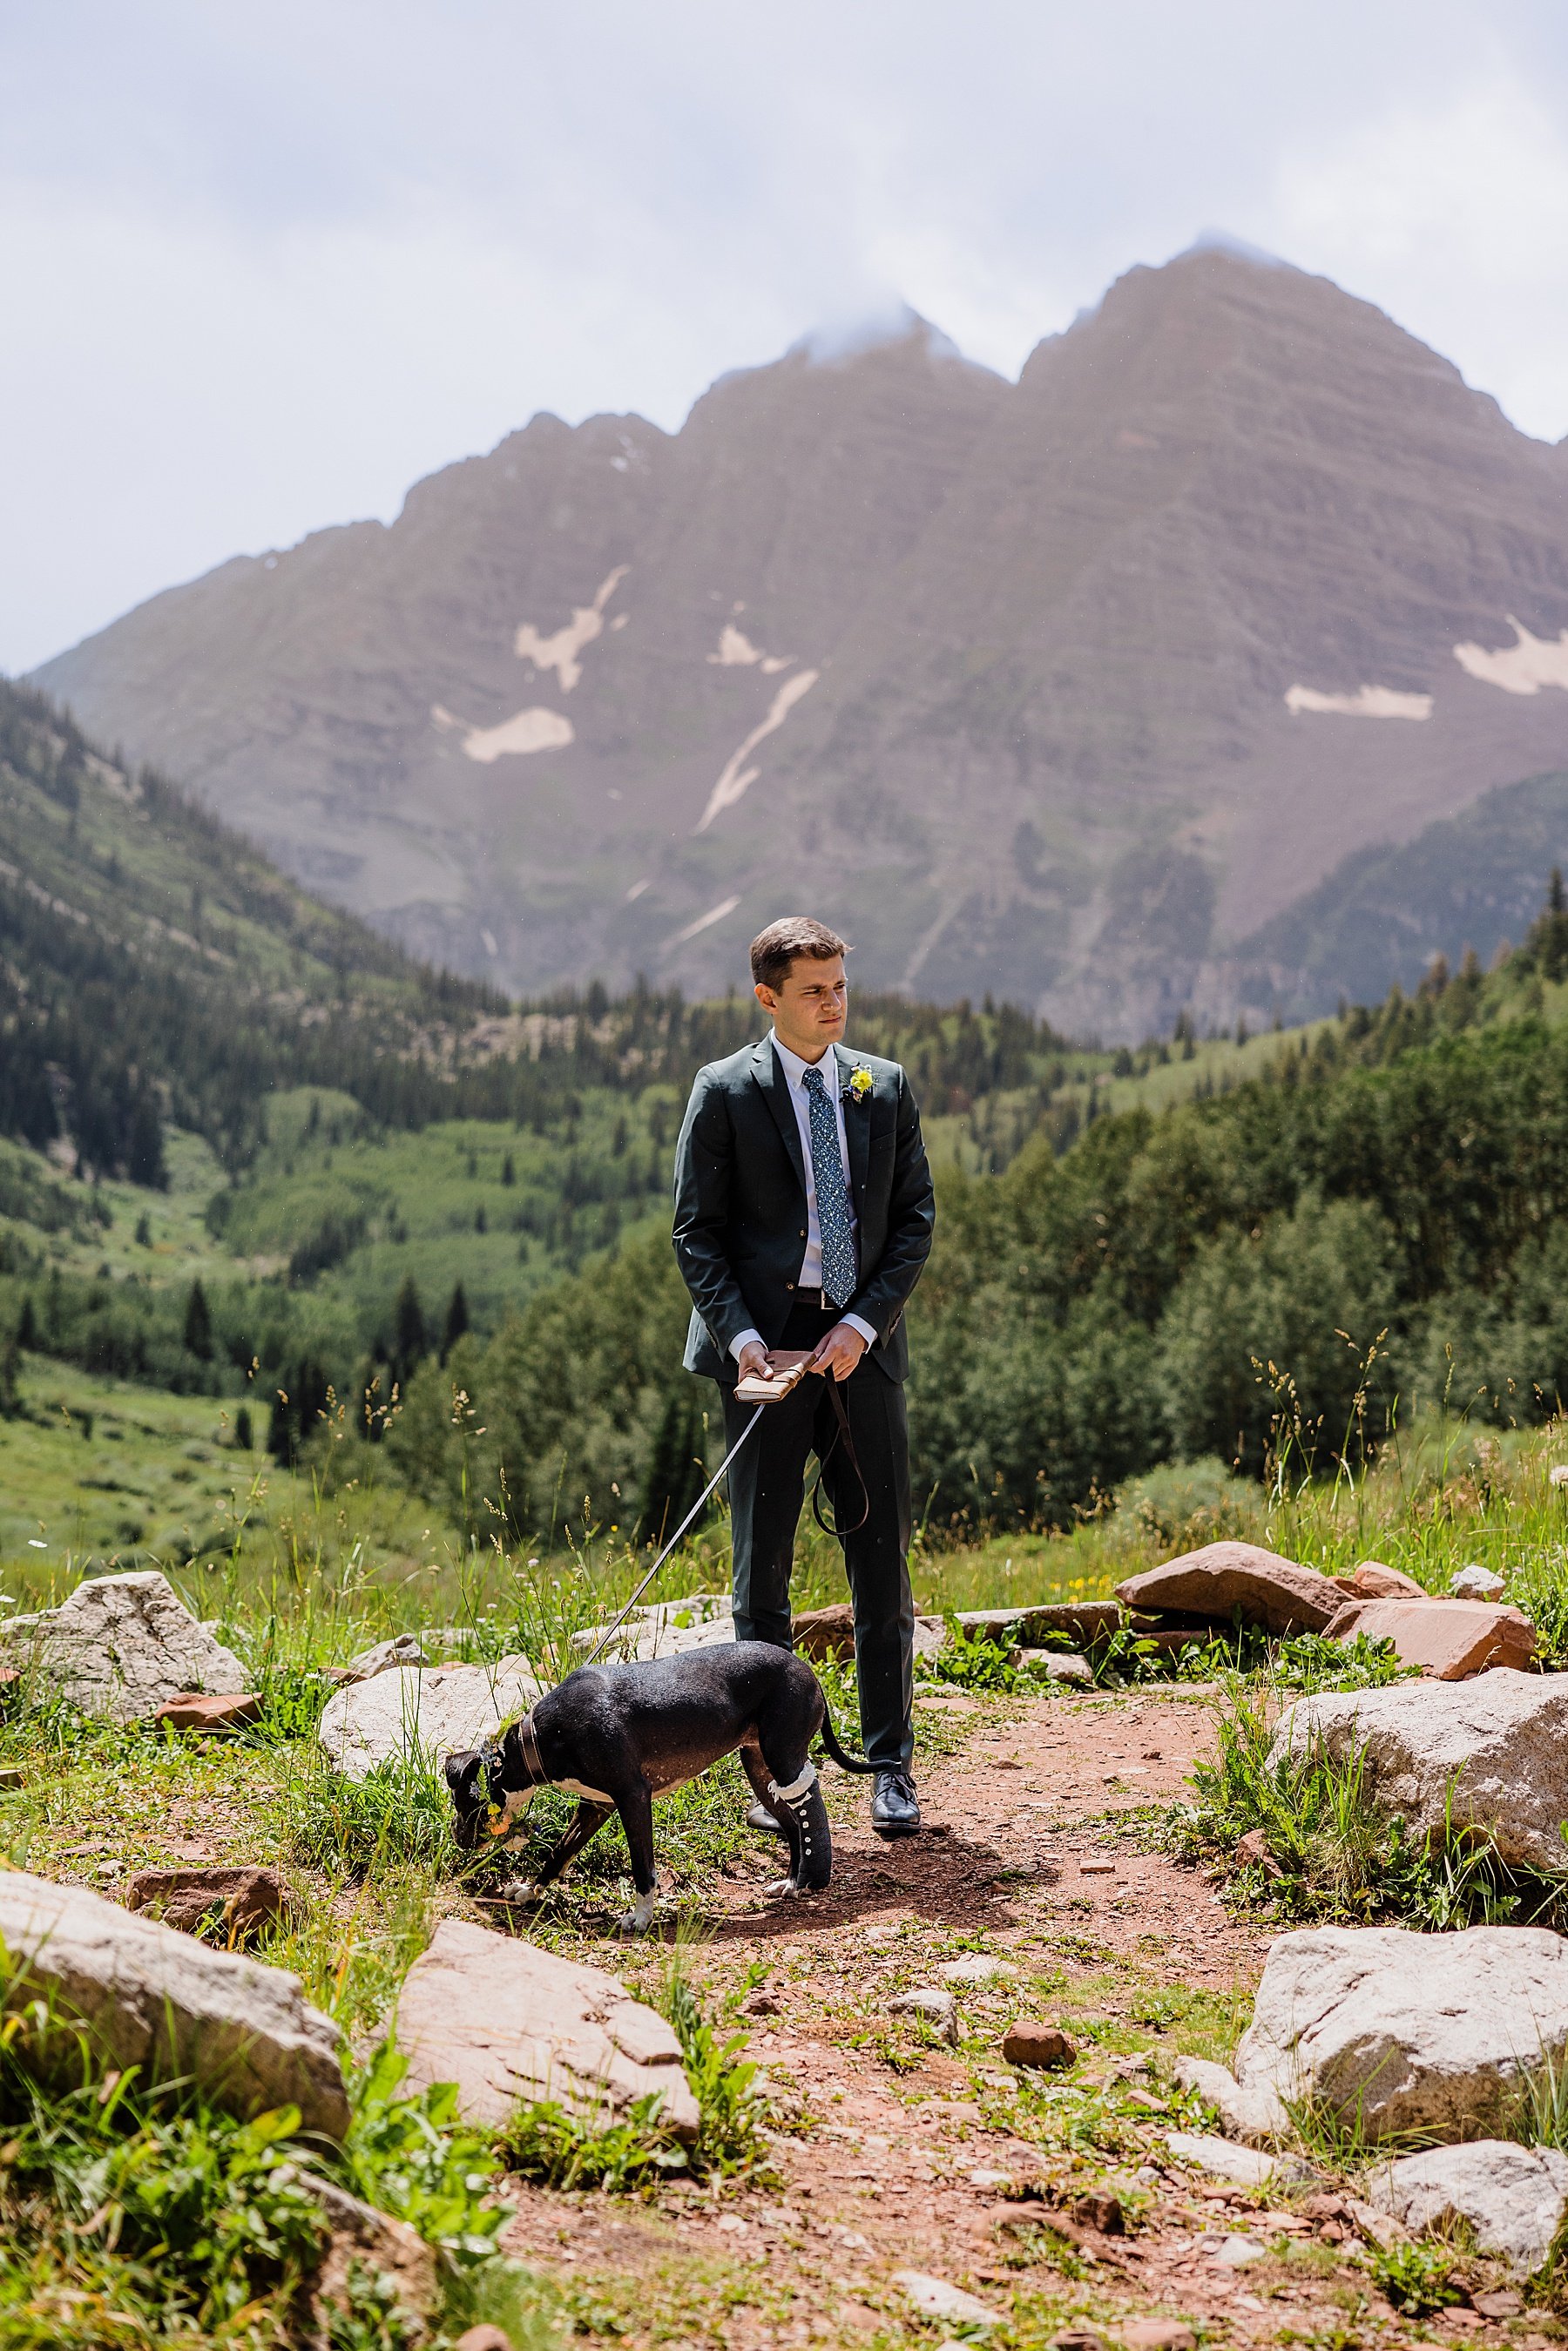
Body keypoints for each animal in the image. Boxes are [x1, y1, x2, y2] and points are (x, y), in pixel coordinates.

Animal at [446, 1636, 879, 1928]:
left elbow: (642, 1867)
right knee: (790, 1824)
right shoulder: (596, 1806)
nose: (456, 1838)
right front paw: (529, 1891)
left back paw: (811, 1881)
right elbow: (558, 1854)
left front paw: (640, 1918)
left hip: (783, 1757)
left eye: (462, 1804)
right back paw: (790, 1881)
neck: (539, 1739)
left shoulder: (632, 1797)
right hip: (759, 1769)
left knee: (809, 1807)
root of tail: (807, 1670)